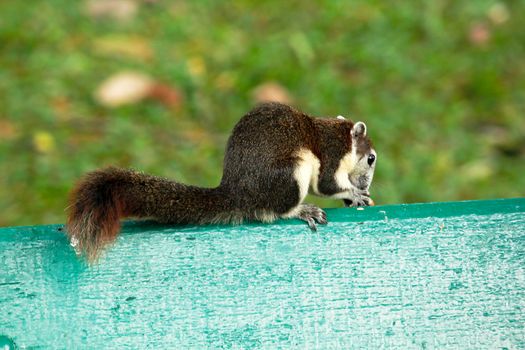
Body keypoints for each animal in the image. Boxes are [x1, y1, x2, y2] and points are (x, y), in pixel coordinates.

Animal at [66, 101, 376, 260]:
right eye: (371, 158)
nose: (364, 185)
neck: (339, 134)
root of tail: (236, 193)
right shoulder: (331, 155)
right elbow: (326, 185)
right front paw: (354, 194)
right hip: (291, 172)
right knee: (274, 211)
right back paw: (301, 210)